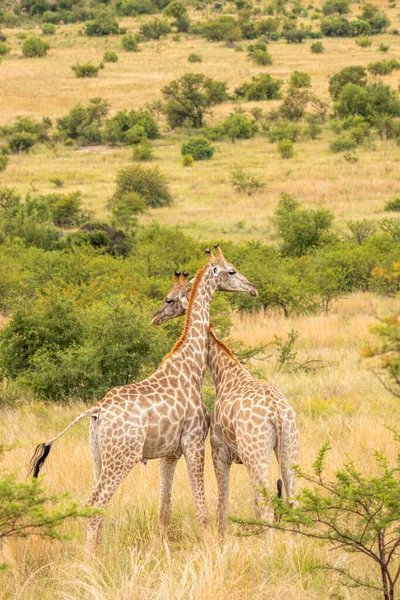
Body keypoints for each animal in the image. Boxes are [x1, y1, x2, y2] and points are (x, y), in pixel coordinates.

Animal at [29, 243, 258, 548]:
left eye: (170, 299)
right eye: (231, 270)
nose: (252, 288)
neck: (191, 364)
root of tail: (96, 410)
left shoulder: (169, 452)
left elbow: (164, 508)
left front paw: (164, 549)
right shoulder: (194, 441)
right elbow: (201, 508)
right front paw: (210, 547)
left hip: (98, 456)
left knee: (93, 502)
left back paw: (97, 551)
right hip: (122, 457)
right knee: (96, 502)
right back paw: (90, 556)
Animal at [153, 255, 300, 536]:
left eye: (169, 299)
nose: (155, 318)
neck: (225, 372)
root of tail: (277, 413)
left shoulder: (219, 452)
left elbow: (223, 505)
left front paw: (222, 538)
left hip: (256, 454)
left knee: (266, 504)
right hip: (290, 448)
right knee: (292, 499)